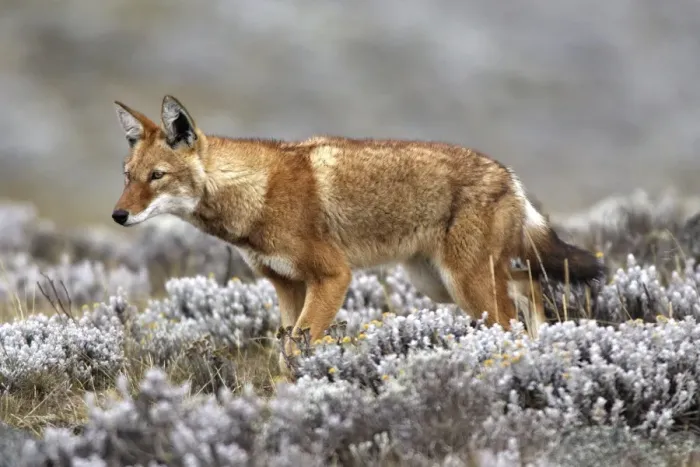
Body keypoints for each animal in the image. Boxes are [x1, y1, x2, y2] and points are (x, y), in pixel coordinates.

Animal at [111, 95, 605, 375]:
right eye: (128, 176)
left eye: (157, 176)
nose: (118, 215)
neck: (256, 193)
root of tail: (509, 175)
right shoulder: (288, 286)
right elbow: (285, 350)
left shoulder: (334, 277)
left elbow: (297, 349)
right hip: (442, 284)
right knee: (530, 286)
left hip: (467, 286)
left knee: (513, 319)